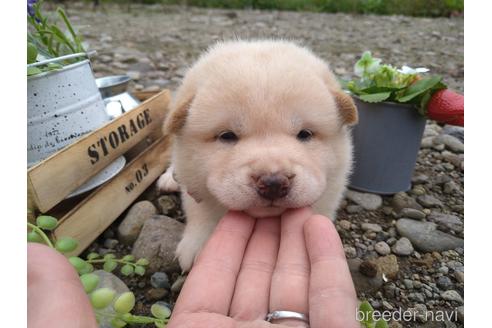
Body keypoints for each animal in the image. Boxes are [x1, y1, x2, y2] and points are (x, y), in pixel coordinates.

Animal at [158, 40, 358, 272]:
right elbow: (203, 211)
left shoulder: (334, 182)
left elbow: (321, 206)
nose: (273, 183)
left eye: (305, 134)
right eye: (227, 136)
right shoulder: (194, 180)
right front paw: (198, 244)